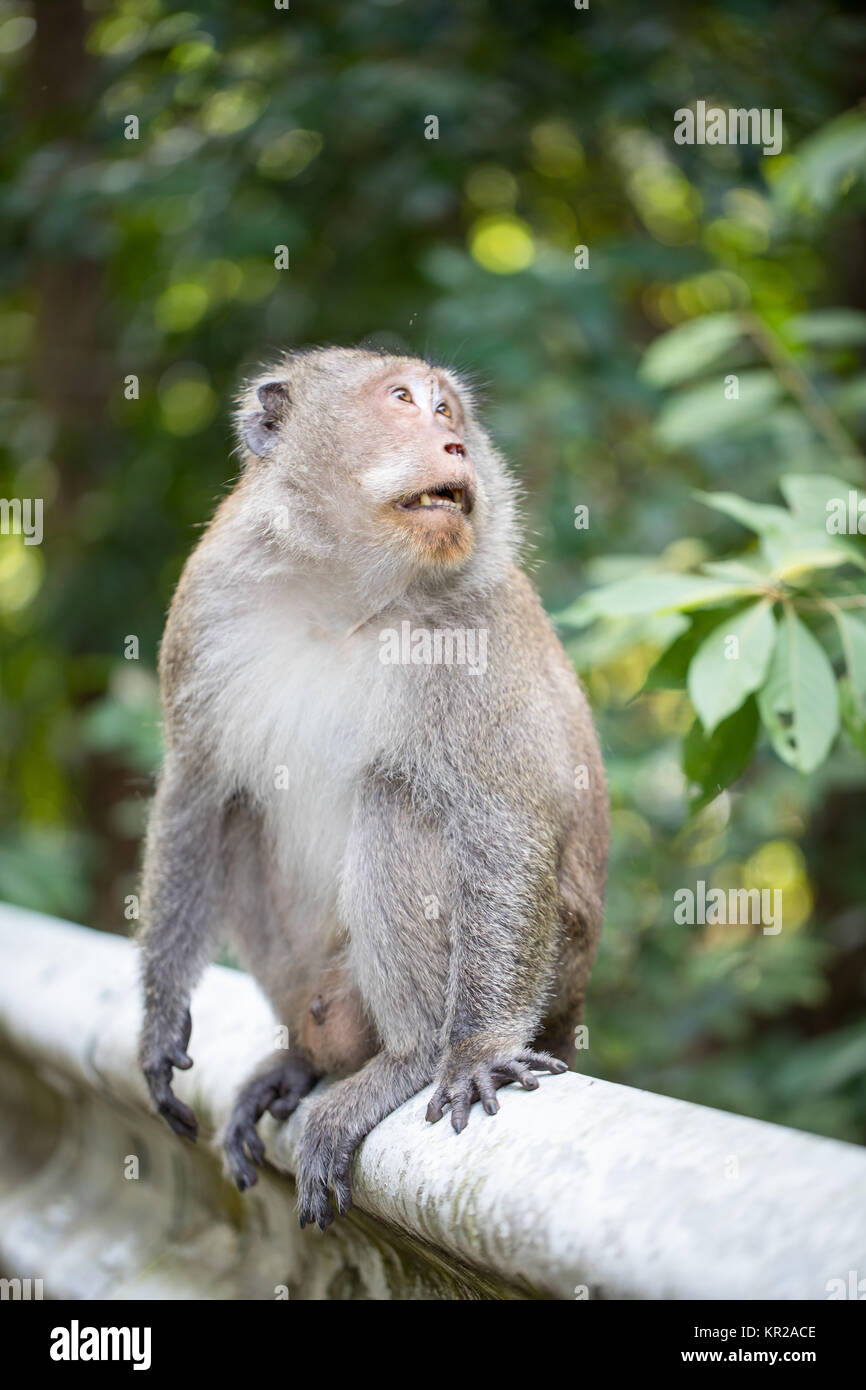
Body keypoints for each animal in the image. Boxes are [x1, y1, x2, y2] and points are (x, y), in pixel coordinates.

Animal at [137, 346, 609, 1230]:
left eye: (447, 410)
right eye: (402, 401)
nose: (453, 444)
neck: (345, 591)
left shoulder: (476, 622)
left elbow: (500, 822)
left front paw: (476, 1052)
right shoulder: (209, 594)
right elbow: (198, 793)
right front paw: (157, 1023)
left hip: (558, 964)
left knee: (399, 798)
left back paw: (412, 1060)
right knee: (242, 815)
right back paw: (300, 1061)